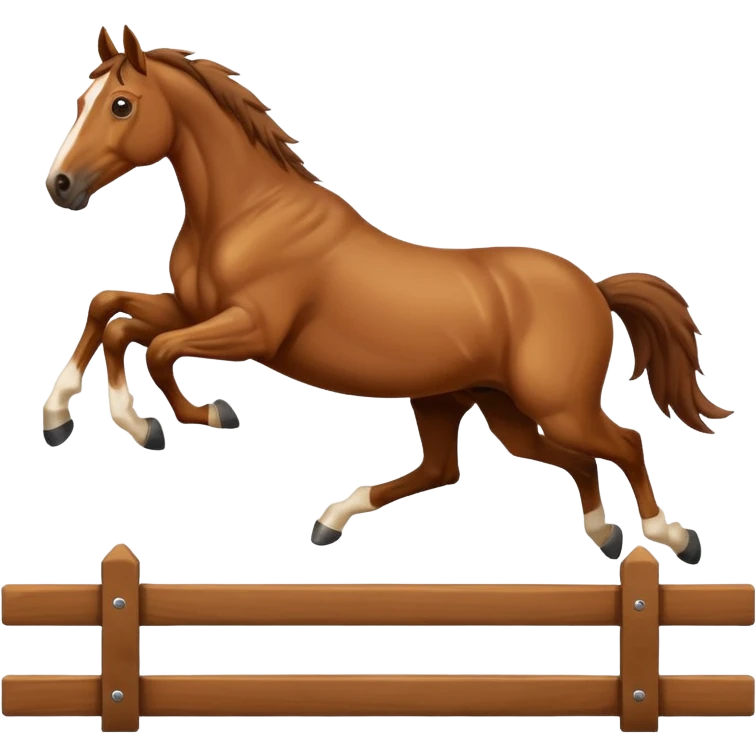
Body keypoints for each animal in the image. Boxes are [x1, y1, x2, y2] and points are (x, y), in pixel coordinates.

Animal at [43, 24, 731, 562]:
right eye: (81, 98)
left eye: (122, 105)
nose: (61, 185)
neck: (246, 214)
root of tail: (594, 286)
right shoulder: (192, 309)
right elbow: (112, 313)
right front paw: (74, 419)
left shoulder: (250, 331)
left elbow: (155, 348)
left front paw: (195, 417)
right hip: (481, 406)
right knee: (479, 465)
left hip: (556, 404)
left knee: (622, 444)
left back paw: (672, 536)